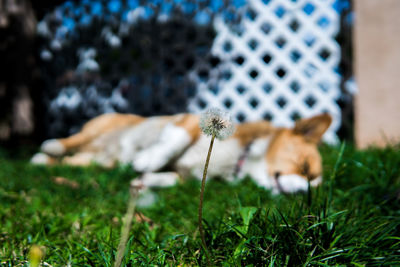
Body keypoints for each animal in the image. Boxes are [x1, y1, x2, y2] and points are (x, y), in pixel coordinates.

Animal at [31, 112, 332, 194]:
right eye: (305, 169)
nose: (304, 193)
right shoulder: (187, 121)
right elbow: (174, 141)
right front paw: (147, 160)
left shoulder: (185, 175)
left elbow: (172, 179)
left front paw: (145, 179)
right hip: (98, 128)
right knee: (72, 140)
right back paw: (49, 146)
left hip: (94, 161)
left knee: (72, 160)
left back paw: (44, 160)